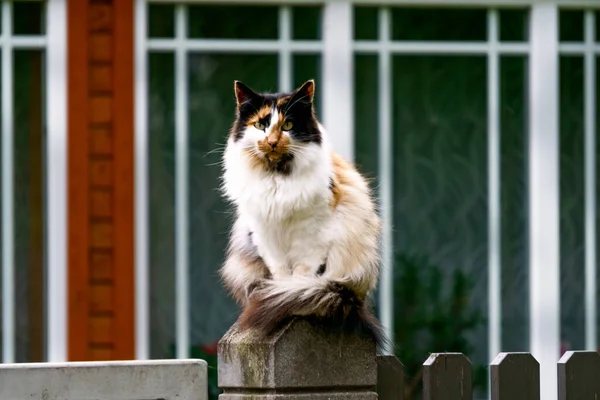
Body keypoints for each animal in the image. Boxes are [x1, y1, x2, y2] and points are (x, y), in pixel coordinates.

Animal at [221, 79, 384, 346]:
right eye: (260, 125)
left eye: (288, 125)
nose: (273, 141)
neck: (277, 178)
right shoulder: (265, 235)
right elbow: (280, 273)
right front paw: (278, 294)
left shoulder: (312, 234)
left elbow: (301, 273)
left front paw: (288, 299)